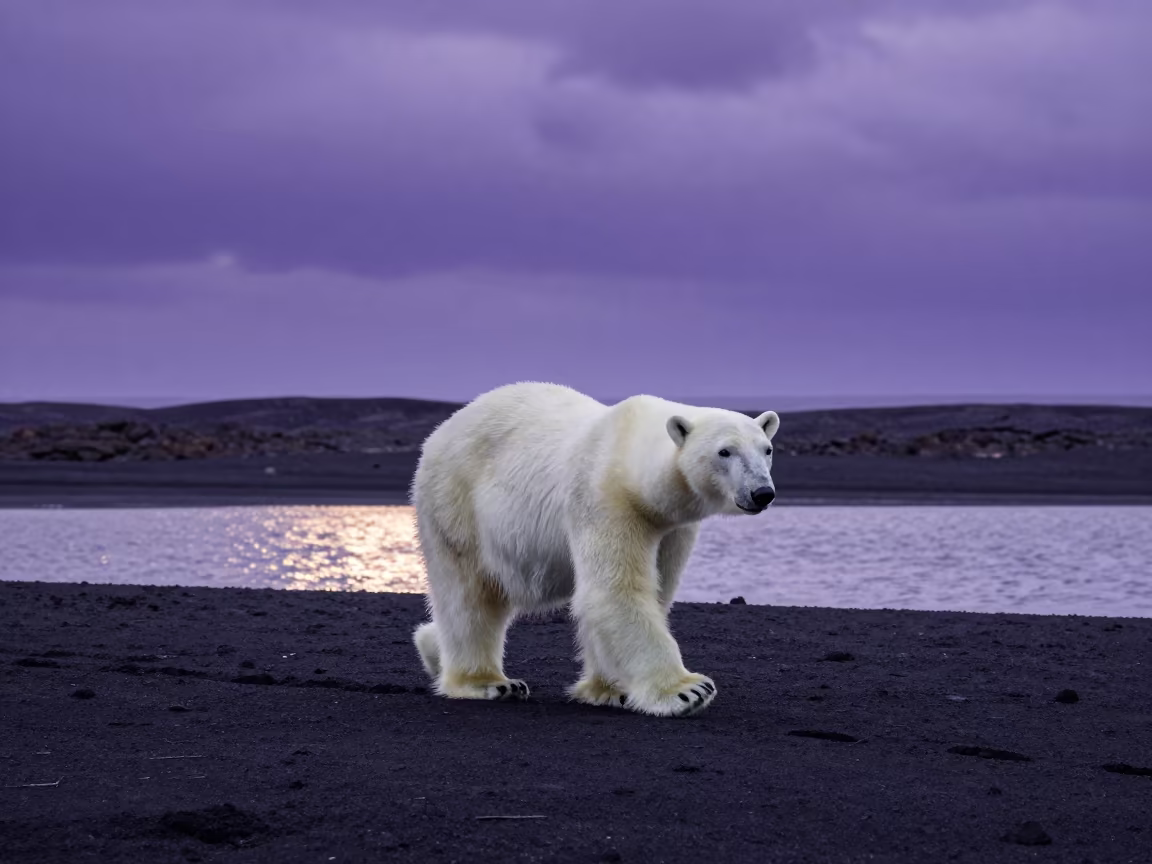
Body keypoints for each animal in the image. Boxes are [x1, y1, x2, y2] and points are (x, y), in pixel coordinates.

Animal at [411, 381, 780, 717]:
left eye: (767, 449)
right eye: (725, 451)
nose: (762, 493)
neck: (628, 453)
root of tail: (444, 428)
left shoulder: (672, 528)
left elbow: (656, 589)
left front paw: (609, 689)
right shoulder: (604, 500)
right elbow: (615, 591)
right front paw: (687, 690)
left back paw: (432, 648)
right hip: (456, 502)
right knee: (470, 593)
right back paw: (487, 682)